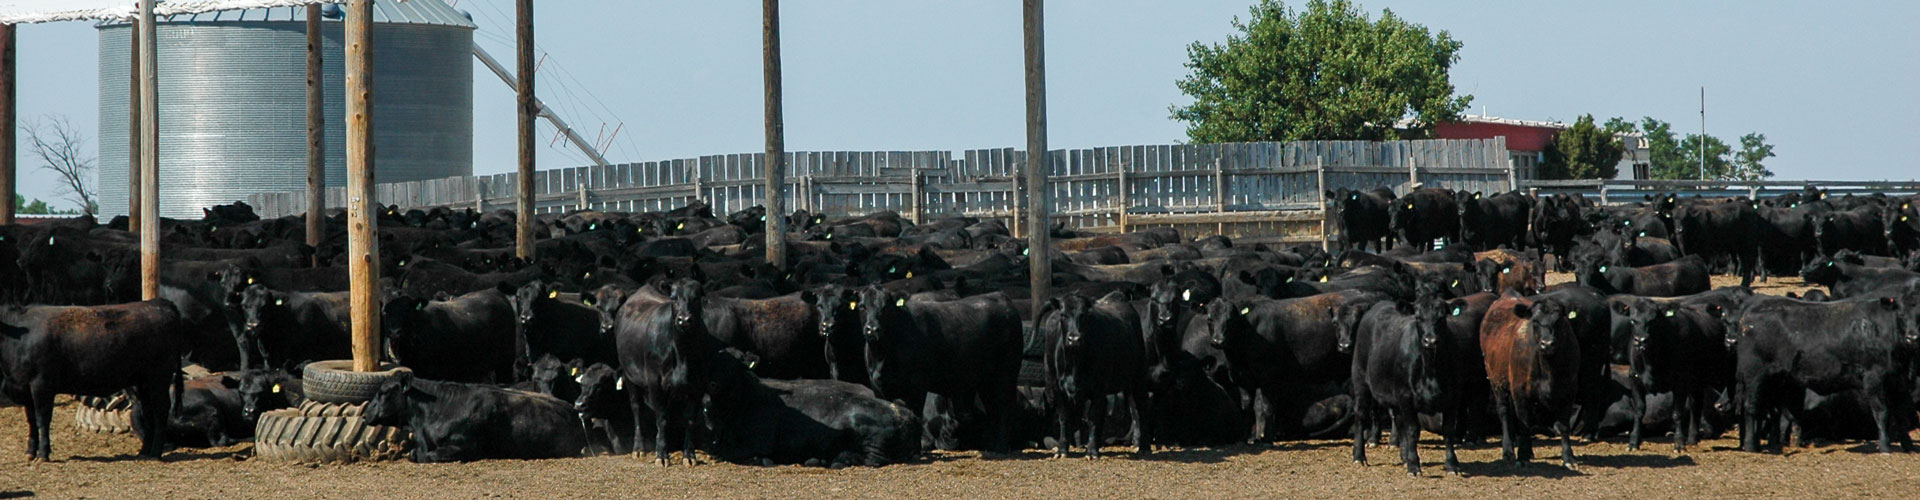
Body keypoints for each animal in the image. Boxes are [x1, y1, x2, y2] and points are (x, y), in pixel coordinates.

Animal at [0, 298, 185, 459]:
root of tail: (158, 302)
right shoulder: (25, 388)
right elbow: (31, 421)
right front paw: (30, 452)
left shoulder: (41, 385)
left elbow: (42, 420)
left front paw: (43, 454)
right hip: (143, 382)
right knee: (147, 411)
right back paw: (144, 451)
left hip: (159, 377)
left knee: (161, 410)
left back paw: (155, 453)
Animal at [1044, 292, 1144, 461]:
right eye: (1063, 315)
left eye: (1083, 315)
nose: (1074, 339)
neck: (1074, 363)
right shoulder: (1057, 387)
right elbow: (1064, 417)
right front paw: (1062, 449)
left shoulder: (1098, 389)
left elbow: (1092, 418)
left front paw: (1091, 451)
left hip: (1135, 379)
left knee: (1137, 410)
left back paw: (1141, 444)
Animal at [1474, 292, 1582, 469]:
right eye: (1535, 321)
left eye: (1558, 320)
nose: (1547, 344)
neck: (1548, 368)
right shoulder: (1520, 391)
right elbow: (1525, 422)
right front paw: (1522, 455)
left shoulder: (1569, 391)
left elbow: (1563, 426)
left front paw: (1568, 457)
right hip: (1496, 381)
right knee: (1505, 413)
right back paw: (1508, 450)